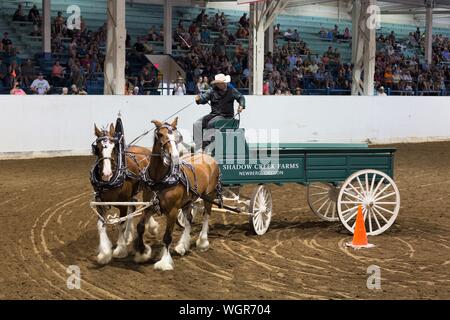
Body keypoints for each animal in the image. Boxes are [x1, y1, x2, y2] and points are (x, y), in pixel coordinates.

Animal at [93, 124, 160, 264]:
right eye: (97, 148)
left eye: (114, 148)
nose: (106, 174)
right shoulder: (99, 202)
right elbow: (100, 225)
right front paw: (104, 253)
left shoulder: (122, 204)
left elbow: (121, 224)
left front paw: (120, 250)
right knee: (134, 206)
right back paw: (129, 235)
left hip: (147, 189)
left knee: (147, 205)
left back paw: (151, 227)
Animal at [132, 117, 220, 270]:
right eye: (160, 134)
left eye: (177, 136)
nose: (173, 156)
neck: (159, 179)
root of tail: (208, 157)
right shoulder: (149, 206)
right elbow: (140, 227)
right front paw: (142, 253)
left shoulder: (172, 211)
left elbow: (167, 236)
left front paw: (164, 262)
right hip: (187, 201)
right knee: (189, 220)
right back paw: (182, 246)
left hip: (210, 195)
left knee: (206, 216)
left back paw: (203, 242)